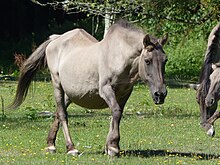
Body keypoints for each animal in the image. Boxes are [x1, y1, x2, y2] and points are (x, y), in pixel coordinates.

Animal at [9, 20, 168, 156]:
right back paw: (71, 148)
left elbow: (116, 115)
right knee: (62, 114)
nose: (160, 94)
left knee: (58, 112)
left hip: (71, 93)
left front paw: (109, 146)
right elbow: (116, 112)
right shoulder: (106, 89)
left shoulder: (124, 93)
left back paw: (50, 144)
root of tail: (56, 39)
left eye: (165, 60)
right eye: (147, 60)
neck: (118, 56)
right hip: (57, 85)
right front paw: (113, 147)